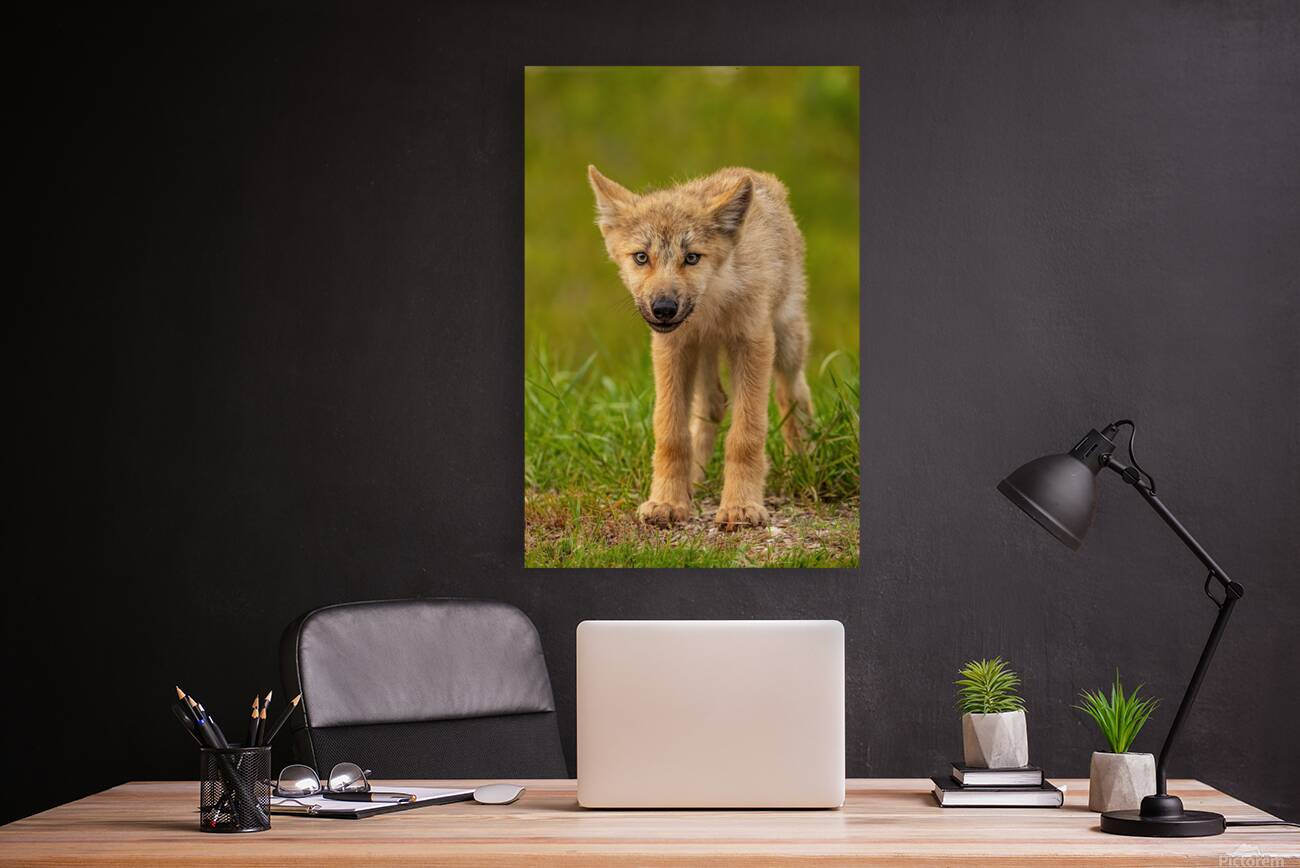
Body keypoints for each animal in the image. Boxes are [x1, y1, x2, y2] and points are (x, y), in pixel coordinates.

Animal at [588, 165, 814, 529]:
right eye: (641, 257)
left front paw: (741, 506)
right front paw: (667, 500)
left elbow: (746, 434)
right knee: (713, 404)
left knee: (793, 394)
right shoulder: (672, 348)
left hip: (787, 343)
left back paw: (802, 463)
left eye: (692, 258)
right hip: (703, 353)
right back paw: (694, 482)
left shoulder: (753, 344)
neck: (713, 306)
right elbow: (671, 433)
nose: (663, 308)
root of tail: (752, 173)